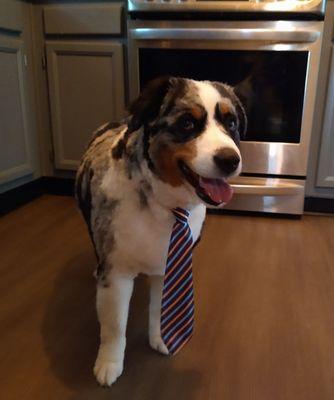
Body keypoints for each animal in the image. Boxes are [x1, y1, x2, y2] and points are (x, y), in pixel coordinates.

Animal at [76, 76, 248, 386]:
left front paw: (163, 337)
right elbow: (114, 325)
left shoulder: (168, 265)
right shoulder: (116, 272)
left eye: (231, 123)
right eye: (187, 123)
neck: (165, 204)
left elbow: (160, 307)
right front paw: (109, 363)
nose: (230, 159)